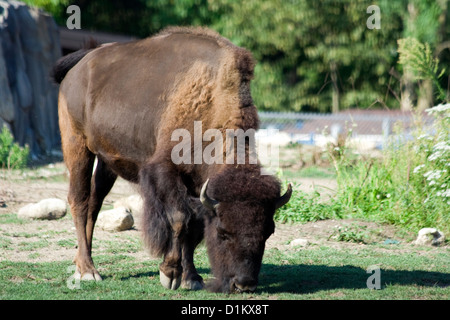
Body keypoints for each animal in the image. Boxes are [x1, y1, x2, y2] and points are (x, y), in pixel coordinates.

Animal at [52, 26, 292, 292]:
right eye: (223, 232)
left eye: (268, 232)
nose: (244, 284)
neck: (210, 96)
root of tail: (80, 66)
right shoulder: (165, 171)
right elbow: (179, 219)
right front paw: (170, 273)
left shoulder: (197, 184)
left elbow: (194, 226)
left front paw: (192, 278)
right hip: (77, 145)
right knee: (79, 201)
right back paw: (87, 271)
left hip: (106, 162)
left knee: (95, 203)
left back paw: (82, 263)